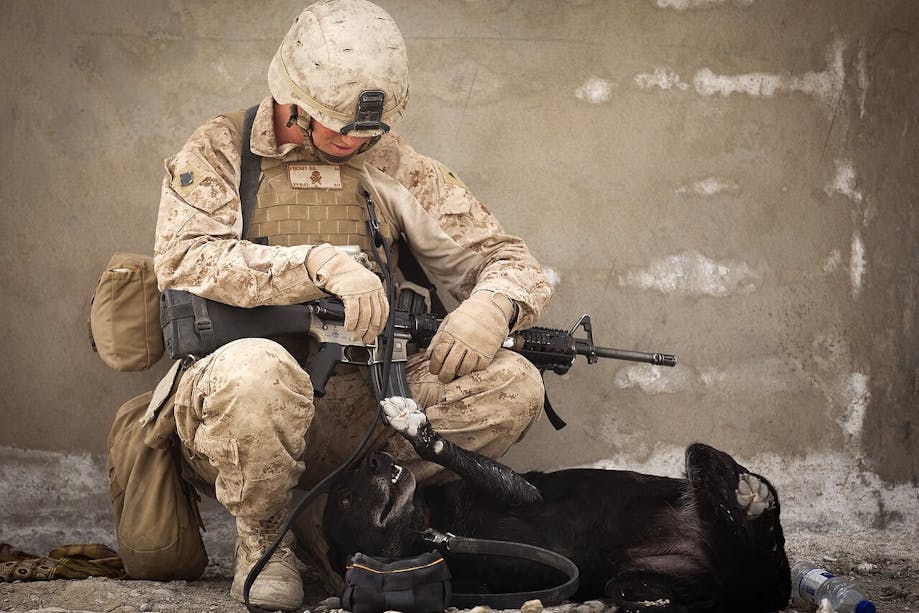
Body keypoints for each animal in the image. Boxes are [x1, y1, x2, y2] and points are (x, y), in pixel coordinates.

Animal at [322, 400, 792, 608]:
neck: (428, 527)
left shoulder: (520, 492)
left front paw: (416, 427)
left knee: (756, 524)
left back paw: (752, 499)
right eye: (344, 499)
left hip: (700, 461)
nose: (376, 458)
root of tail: (769, 584)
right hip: (638, 580)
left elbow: (456, 455)